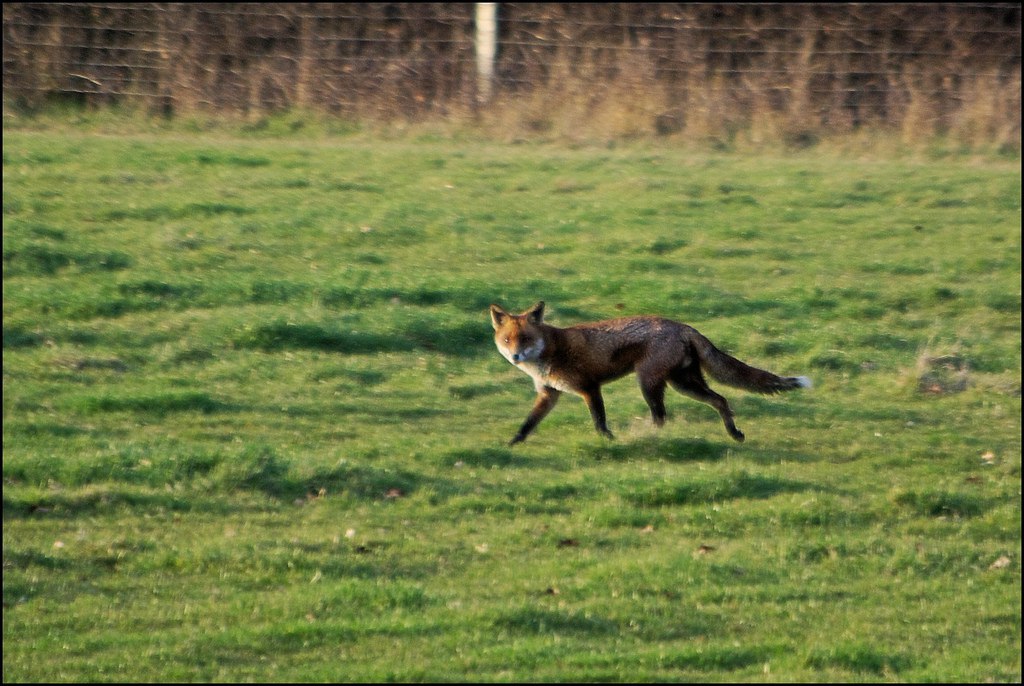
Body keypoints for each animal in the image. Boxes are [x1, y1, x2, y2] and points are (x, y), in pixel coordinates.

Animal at [490, 301, 811, 446]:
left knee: (662, 416)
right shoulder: (549, 394)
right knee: (720, 400)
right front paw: (513, 444)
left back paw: (651, 438)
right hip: (683, 383)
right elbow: (527, 424)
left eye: (526, 339)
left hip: (649, 382)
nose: (515, 357)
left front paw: (610, 442)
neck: (550, 352)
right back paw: (734, 433)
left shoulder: (589, 388)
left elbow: (599, 422)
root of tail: (684, 326)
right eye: (507, 340)